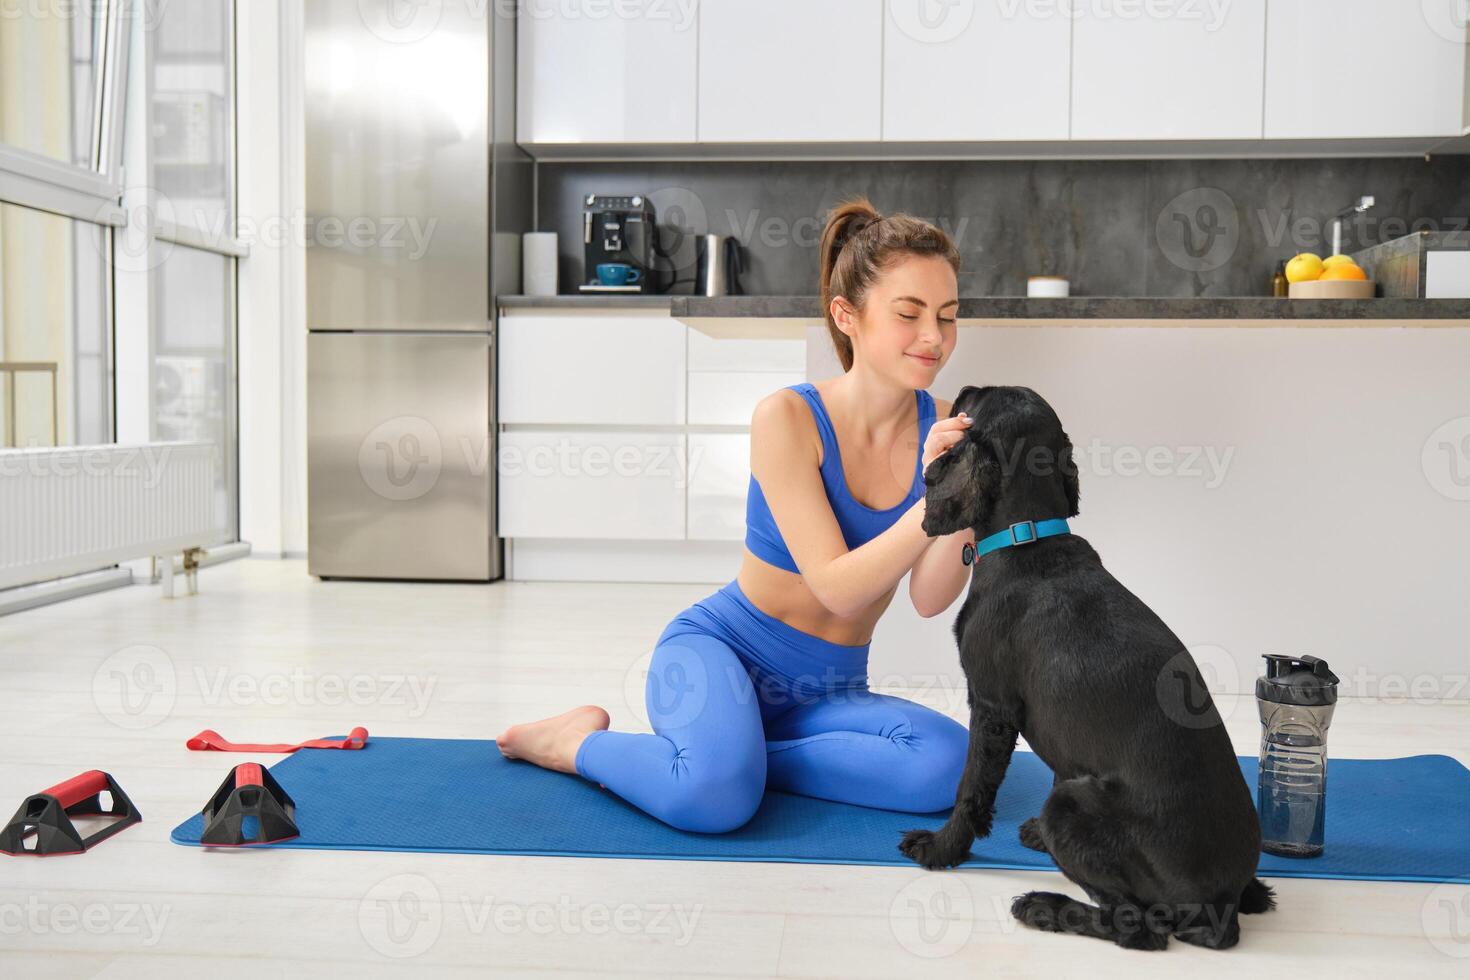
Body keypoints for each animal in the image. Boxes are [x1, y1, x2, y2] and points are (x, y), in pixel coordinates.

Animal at [893, 382, 1275, 952]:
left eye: (977, 401)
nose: (961, 390)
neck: (1028, 536)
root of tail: (1221, 907)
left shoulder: (991, 704)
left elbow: (971, 790)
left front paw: (941, 850)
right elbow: (1056, 761)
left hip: (1072, 806)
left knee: (1137, 927)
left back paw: (1042, 906)